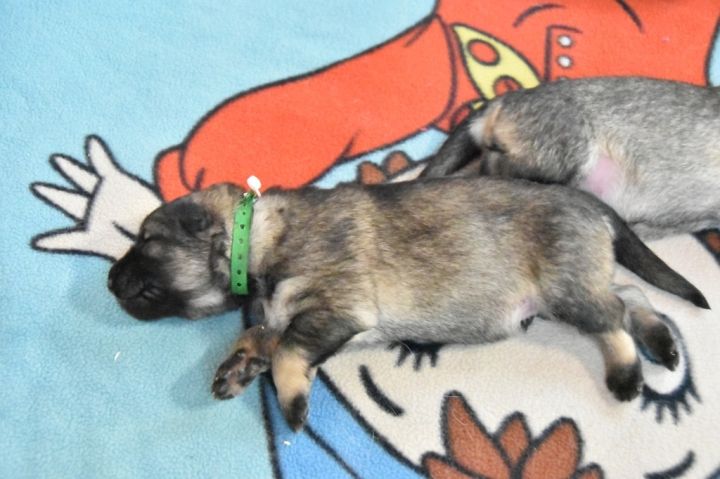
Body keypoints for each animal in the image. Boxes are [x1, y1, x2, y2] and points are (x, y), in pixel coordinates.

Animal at [107, 178, 708, 430]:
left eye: (146, 240)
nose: (110, 279)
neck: (254, 237)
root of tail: (590, 203)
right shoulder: (289, 315)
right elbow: (260, 335)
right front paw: (236, 366)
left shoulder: (335, 308)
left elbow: (288, 351)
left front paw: (292, 401)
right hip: (579, 279)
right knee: (629, 294)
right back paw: (660, 342)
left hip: (565, 285)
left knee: (612, 317)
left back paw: (628, 373)